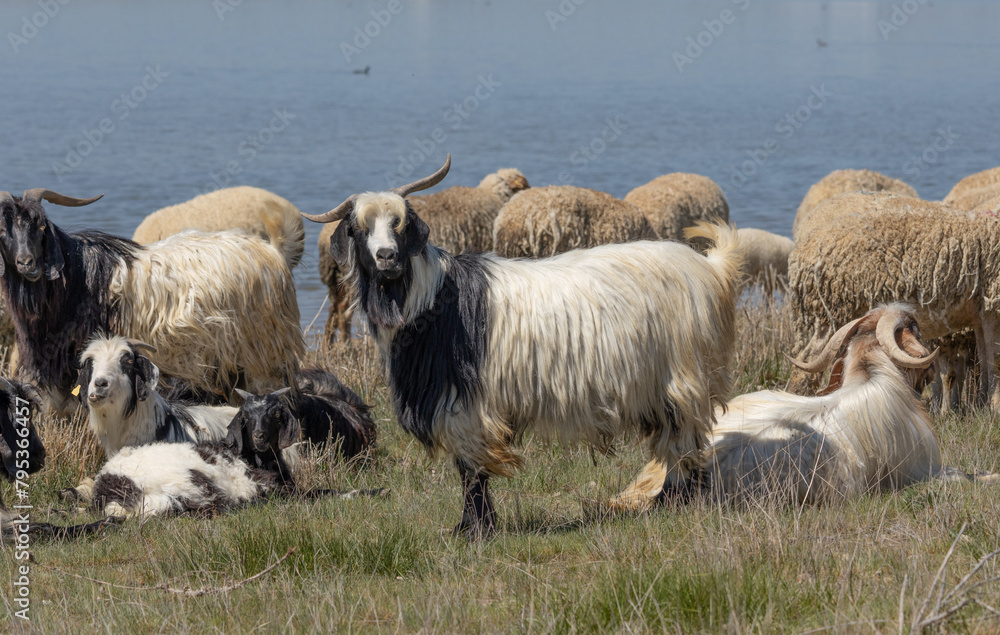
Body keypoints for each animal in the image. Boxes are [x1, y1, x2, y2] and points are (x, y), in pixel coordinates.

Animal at [318, 168, 529, 343]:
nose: (386, 256)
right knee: (343, 312)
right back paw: (345, 346)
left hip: (336, 283)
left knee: (333, 311)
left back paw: (329, 346)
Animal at [787, 192, 1000, 410]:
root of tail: (802, 252)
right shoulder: (992, 309)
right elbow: (995, 362)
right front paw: (994, 407)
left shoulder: (981, 315)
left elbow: (985, 361)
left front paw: (983, 406)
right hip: (836, 309)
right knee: (808, 361)